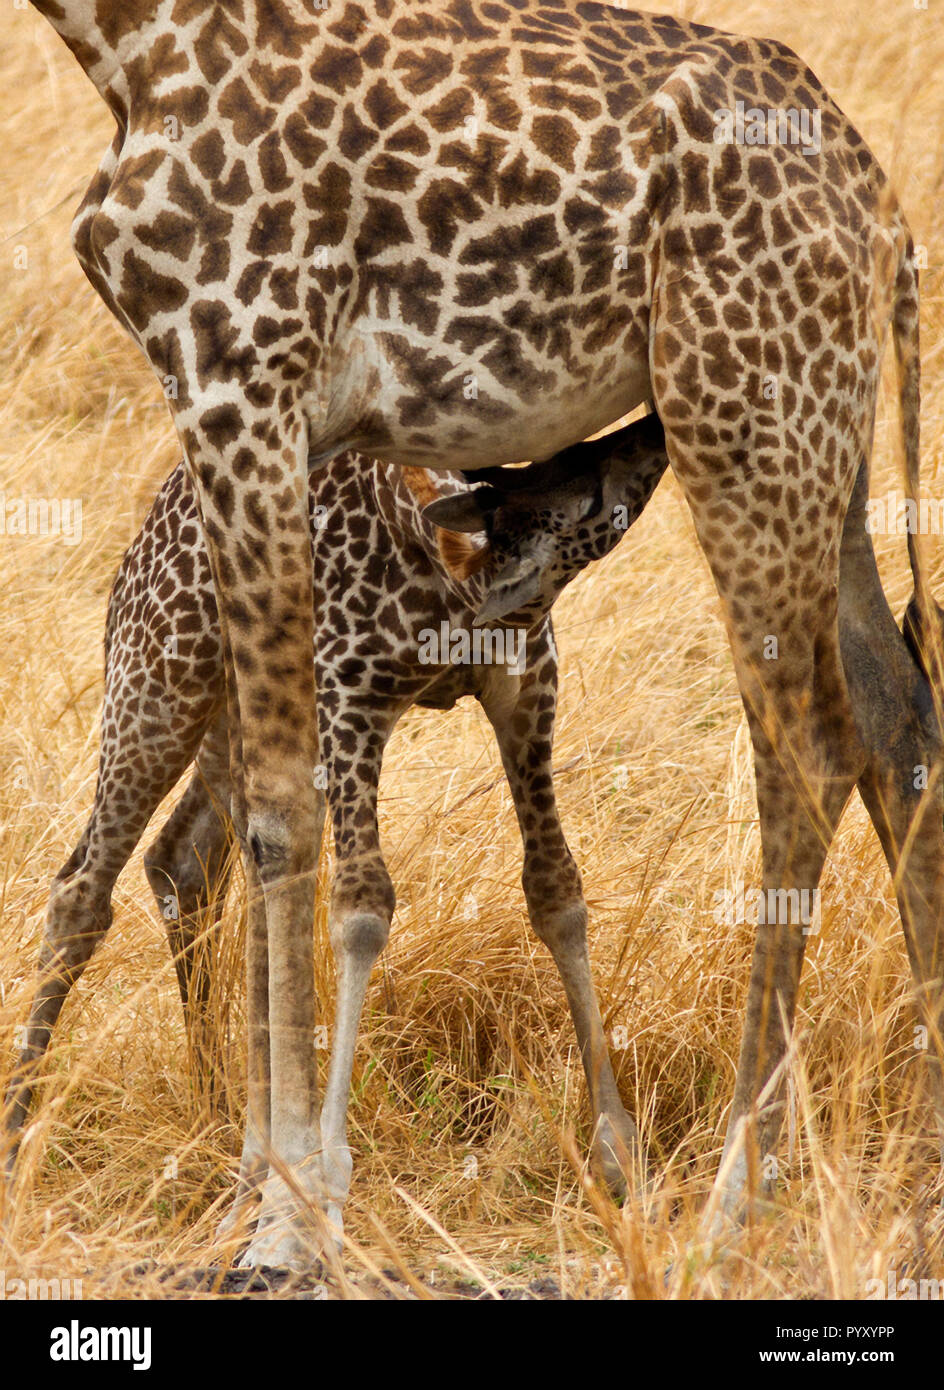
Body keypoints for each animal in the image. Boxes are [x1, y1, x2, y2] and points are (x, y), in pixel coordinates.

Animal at [3, 414, 667, 1239]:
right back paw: (23, 1139)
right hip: (159, 680)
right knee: (84, 889)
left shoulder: (524, 684)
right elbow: (360, 908)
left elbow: (557, 893)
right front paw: (325, 1170)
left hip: (230, 720)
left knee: (189, 862)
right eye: (592, 496)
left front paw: (619, 1155)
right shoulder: (351, 700)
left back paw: (220, 1120)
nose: (652, 434)